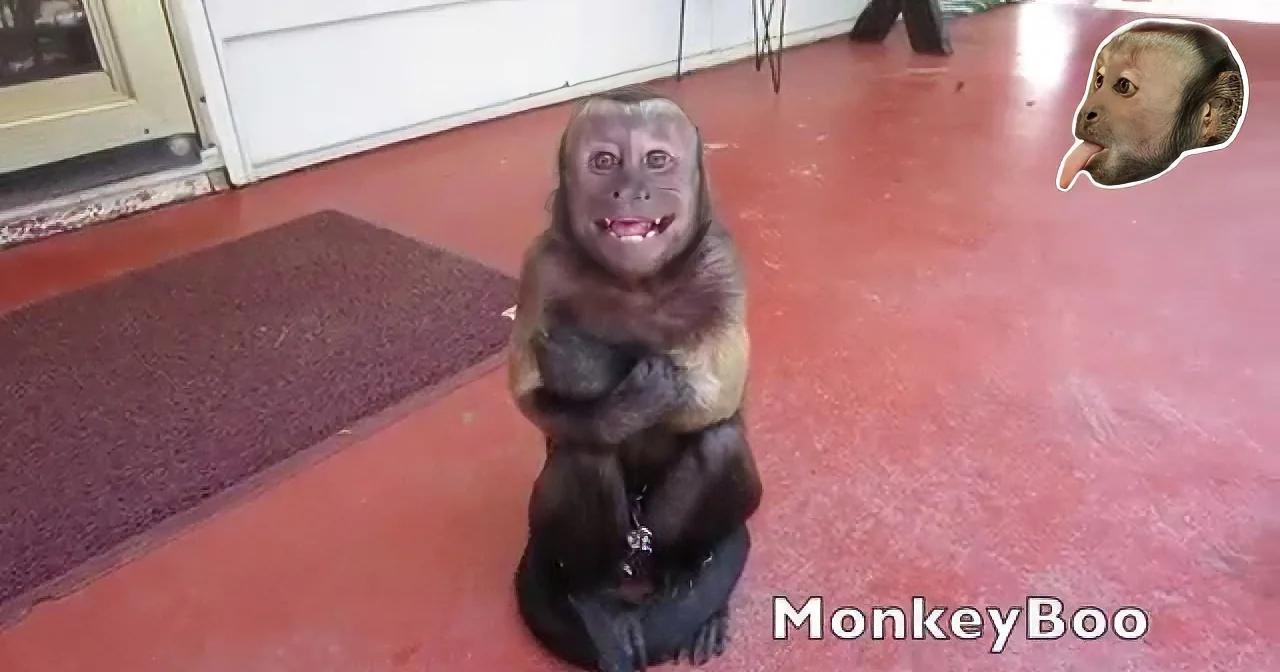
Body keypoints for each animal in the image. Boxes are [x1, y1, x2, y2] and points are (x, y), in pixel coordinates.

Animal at [507, 85, 763, 672]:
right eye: (605, 162)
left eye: (656, 160)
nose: (630, 191)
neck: (637, 283)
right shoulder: (541, 267)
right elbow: (528, 395)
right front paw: (615, 394)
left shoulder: (720, 256)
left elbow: (722, 389)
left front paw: (601, 366)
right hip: (618, 548)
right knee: (584, 456)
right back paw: (591, 595)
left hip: (657, 536)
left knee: (719, 445)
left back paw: (690, 572)